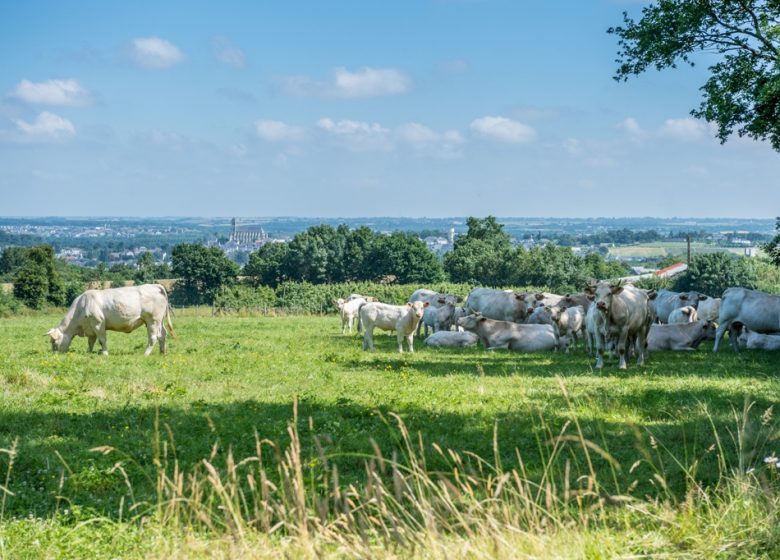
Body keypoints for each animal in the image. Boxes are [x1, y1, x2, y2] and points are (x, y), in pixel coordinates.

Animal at [47, 282, 178, 356]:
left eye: (54, 341)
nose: (54, 355)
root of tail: (155, 286)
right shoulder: (90, 328)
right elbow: (91, 342)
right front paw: (88, 352)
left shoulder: (98, 323)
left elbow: (102, 340)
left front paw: (105, 353)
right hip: (159, 321)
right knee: (162, 335)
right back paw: (162, 352)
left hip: (152, 321)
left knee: (153, 337)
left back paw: (145, 354)